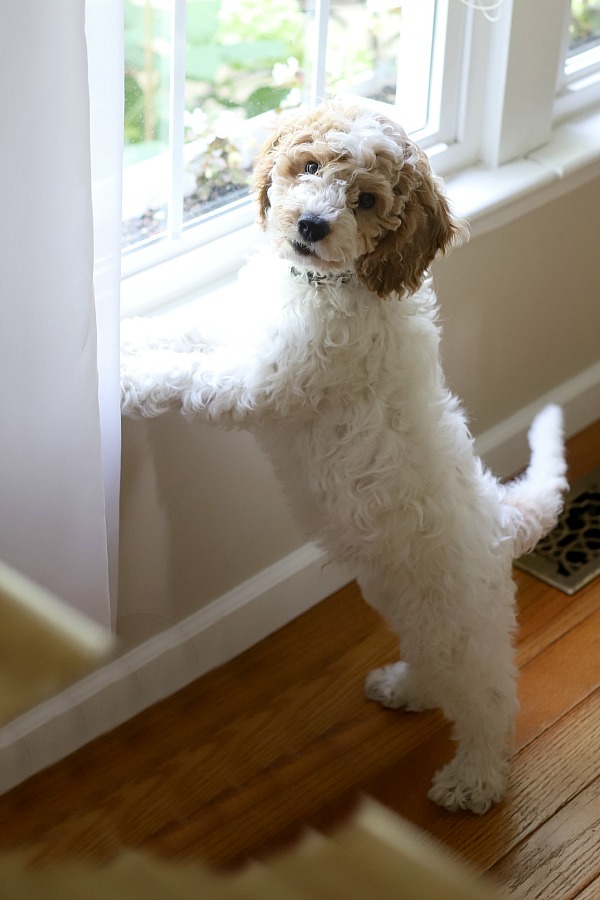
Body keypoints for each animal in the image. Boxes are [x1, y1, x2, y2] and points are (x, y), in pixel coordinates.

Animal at [123, 102, 568, 812]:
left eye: (366, 201)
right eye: (308, 166)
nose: (311, 225)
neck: (322, 282)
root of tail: (504, 519)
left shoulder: (260, 383)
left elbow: (186, 375)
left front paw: (123, 379)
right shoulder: (239, 331)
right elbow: (185, 334)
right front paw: (124, 337)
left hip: (459, 623)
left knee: (491, 700)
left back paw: (473, 780)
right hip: (409, 603)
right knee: (439, 670)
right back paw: (404, 688)